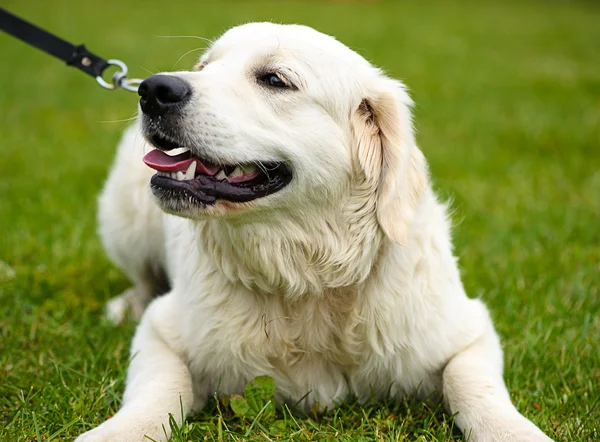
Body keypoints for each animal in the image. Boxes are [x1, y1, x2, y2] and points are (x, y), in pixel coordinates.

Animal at [75, 23, 552, 442]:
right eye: (204, 66)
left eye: (274, 79)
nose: (153, 89)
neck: (308, 278)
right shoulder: (163, 330)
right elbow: (158, 392)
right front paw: (117, 433)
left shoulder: (468, 332)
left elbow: (474, 388)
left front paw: (516, 432)